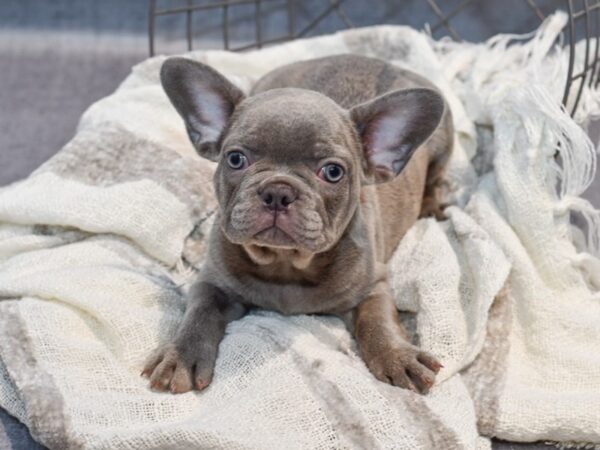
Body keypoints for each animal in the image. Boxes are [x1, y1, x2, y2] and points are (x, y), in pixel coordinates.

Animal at [143, 53, 452, 394]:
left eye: (333, 172)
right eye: (235, 159)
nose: (278, 192)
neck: (285, 264)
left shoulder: (374, 286)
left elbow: (378, 320)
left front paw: (397, 356)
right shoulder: (212, 282)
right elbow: (200, 312)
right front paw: (181, 356)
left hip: (443, 148)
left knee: (436, 179)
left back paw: (433, 207)